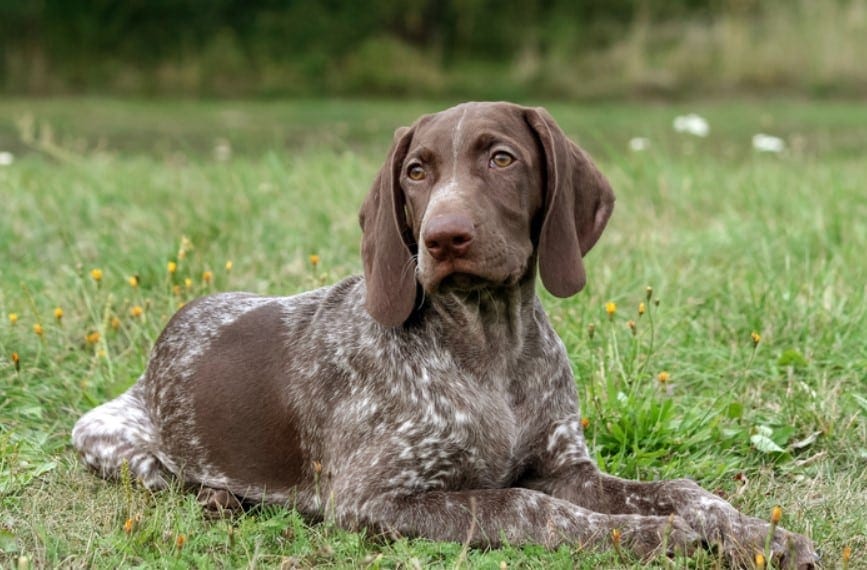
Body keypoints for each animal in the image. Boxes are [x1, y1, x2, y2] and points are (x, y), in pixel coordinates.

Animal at [71, 101, 816, 564]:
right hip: (106, 438)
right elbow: (525, 507)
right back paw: (219, 497)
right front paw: (654, 537)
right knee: (167, 475)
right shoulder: (374, 499)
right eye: (415, 170)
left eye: (502, 159)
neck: (489, 346)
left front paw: (756, 533)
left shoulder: (566, 467)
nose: (443, 237)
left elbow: (684, 490)